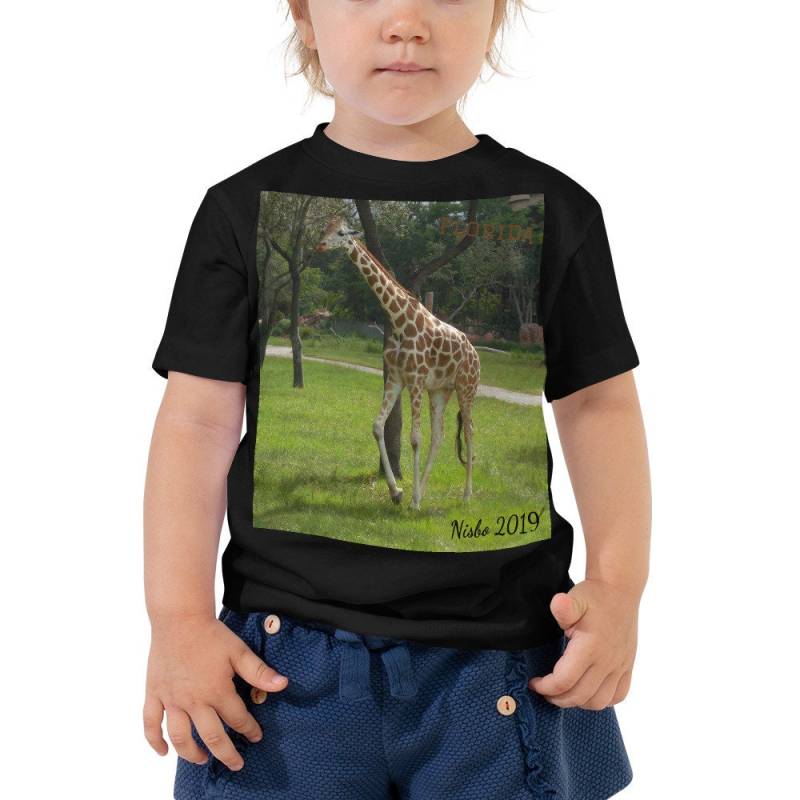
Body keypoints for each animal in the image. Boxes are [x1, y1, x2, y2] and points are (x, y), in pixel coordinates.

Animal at [315, 215, 480, 511]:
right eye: (325, 229)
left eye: (342, 233)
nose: (320, 245)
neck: (398, 318)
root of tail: (477, 355)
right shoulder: (395, 378)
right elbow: (377, 426)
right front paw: (398, 492)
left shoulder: (415, 379)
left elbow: (414, 438)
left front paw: (411, 501)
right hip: (440, 390)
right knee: (439, 435)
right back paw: (422, 491)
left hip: (466, 388)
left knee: (469, 431)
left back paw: (465, 495)